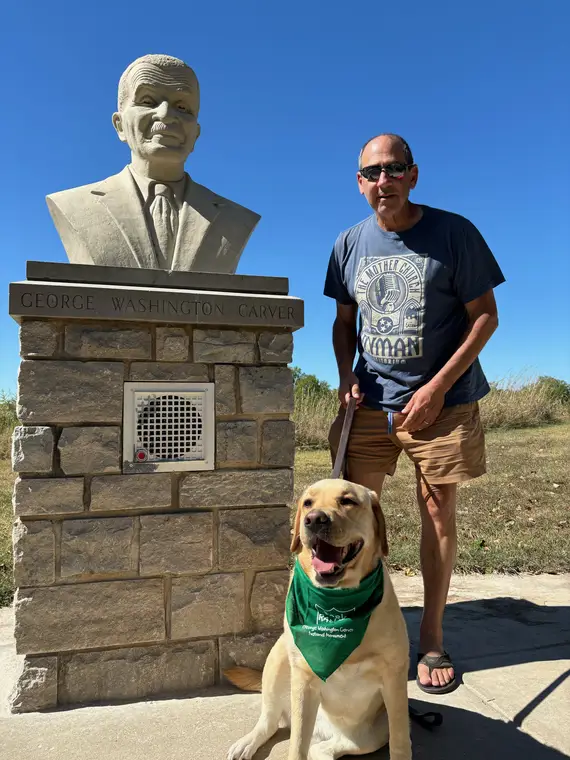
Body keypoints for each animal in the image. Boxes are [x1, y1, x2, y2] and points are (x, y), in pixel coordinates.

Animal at [224, 480, 410, 760]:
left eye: (348, 501)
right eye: (308, 503)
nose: (314, 519)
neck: (338, 600)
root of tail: (325, 731)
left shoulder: (395, 680)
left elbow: (401, 744)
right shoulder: (303, 681)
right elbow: (297, 746)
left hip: (371, 734)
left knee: (324, 748)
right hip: (279, 657)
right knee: (270, 721)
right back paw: (247, 743)